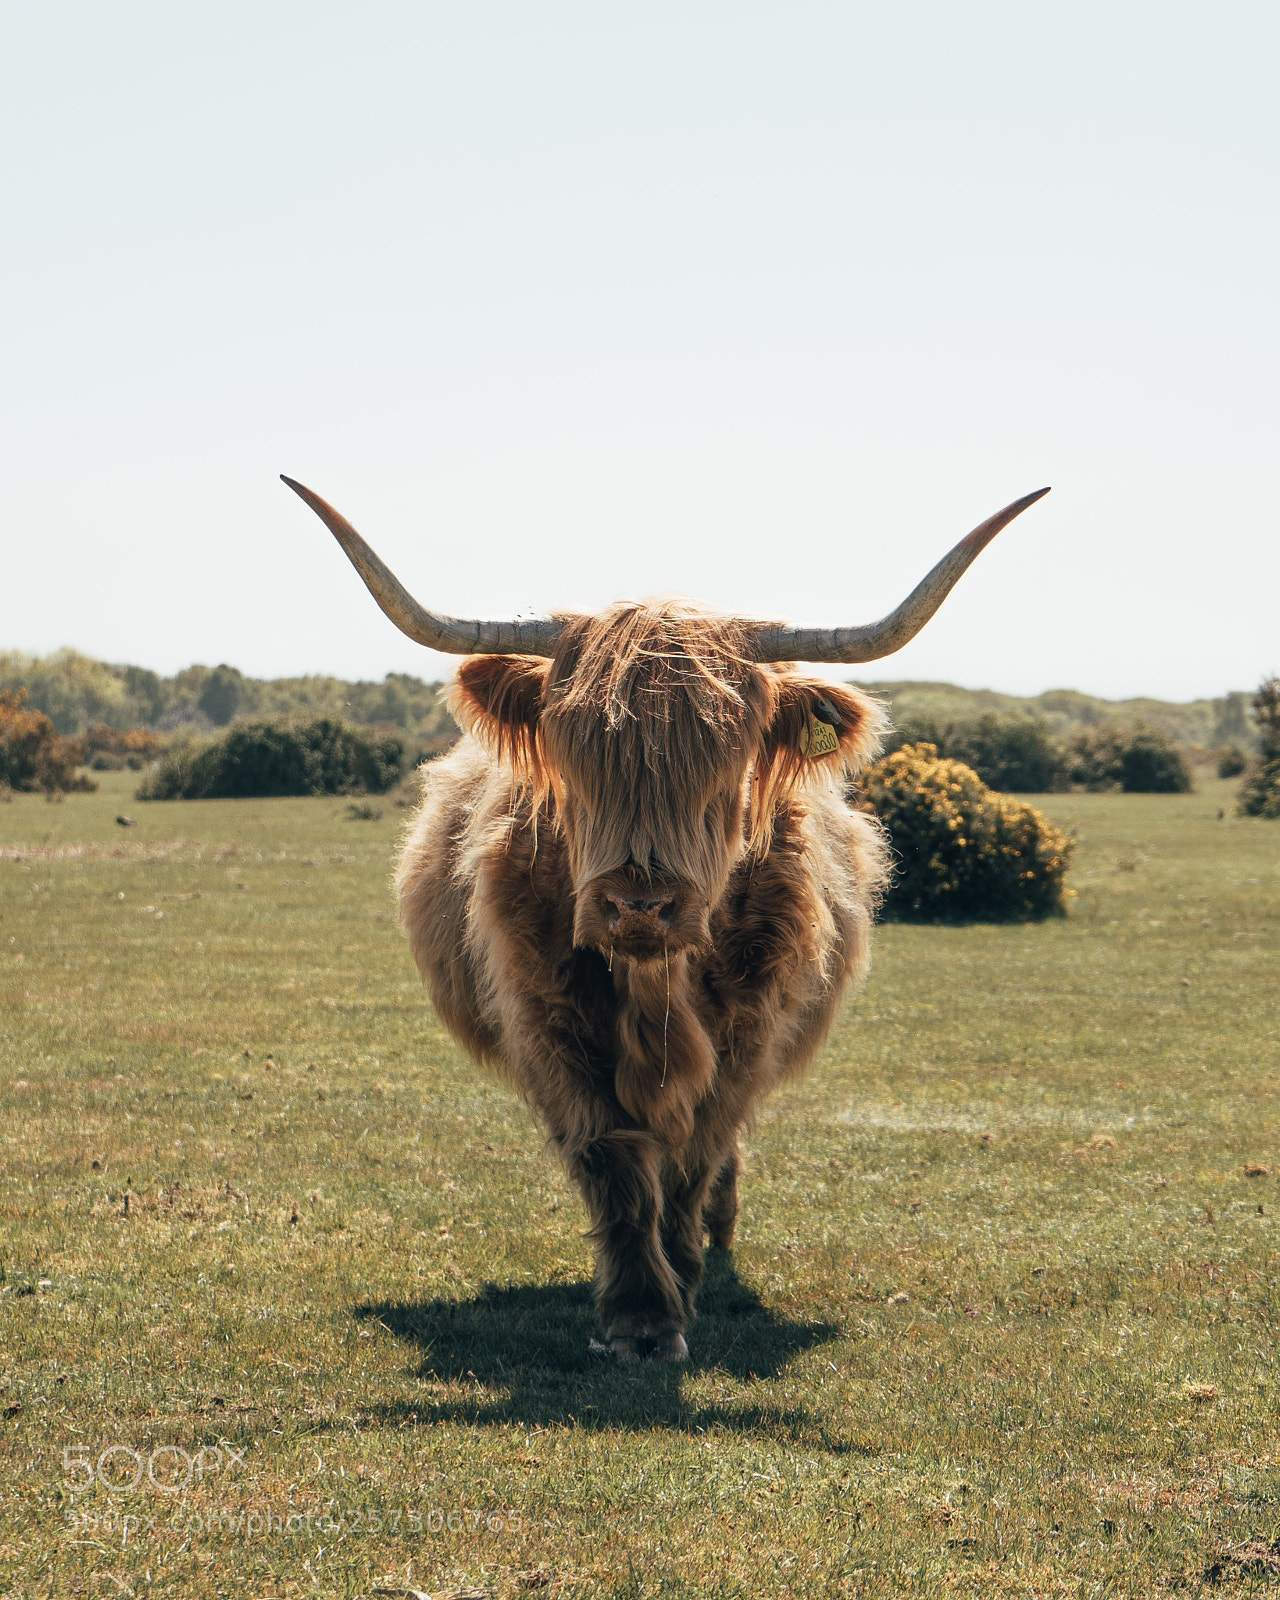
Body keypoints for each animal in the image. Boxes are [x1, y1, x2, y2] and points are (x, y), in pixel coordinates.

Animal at [283, 477, 1049, 1361]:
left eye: (723, 762)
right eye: (576, 755)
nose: (639, 902)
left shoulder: (748, 1034)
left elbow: (694, 1155)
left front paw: (681, 1275)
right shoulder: (553, 1028)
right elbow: (616, 1166)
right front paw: (641, 1316)